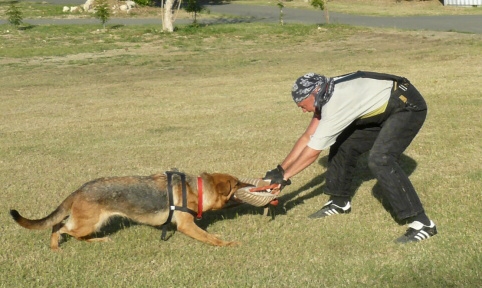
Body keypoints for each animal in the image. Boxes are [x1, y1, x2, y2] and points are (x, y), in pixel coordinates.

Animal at [9, 171, 252, 250]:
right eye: (237, 183)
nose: (252, 184)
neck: (197, 189)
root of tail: (79, 190)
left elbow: (209, 234)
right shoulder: (186, 225)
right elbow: (210, 238)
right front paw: (228, 243)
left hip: (92, 223)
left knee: (71, 231)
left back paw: (99, 241)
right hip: (87, 223)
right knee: (59, 227)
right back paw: (55, 247)